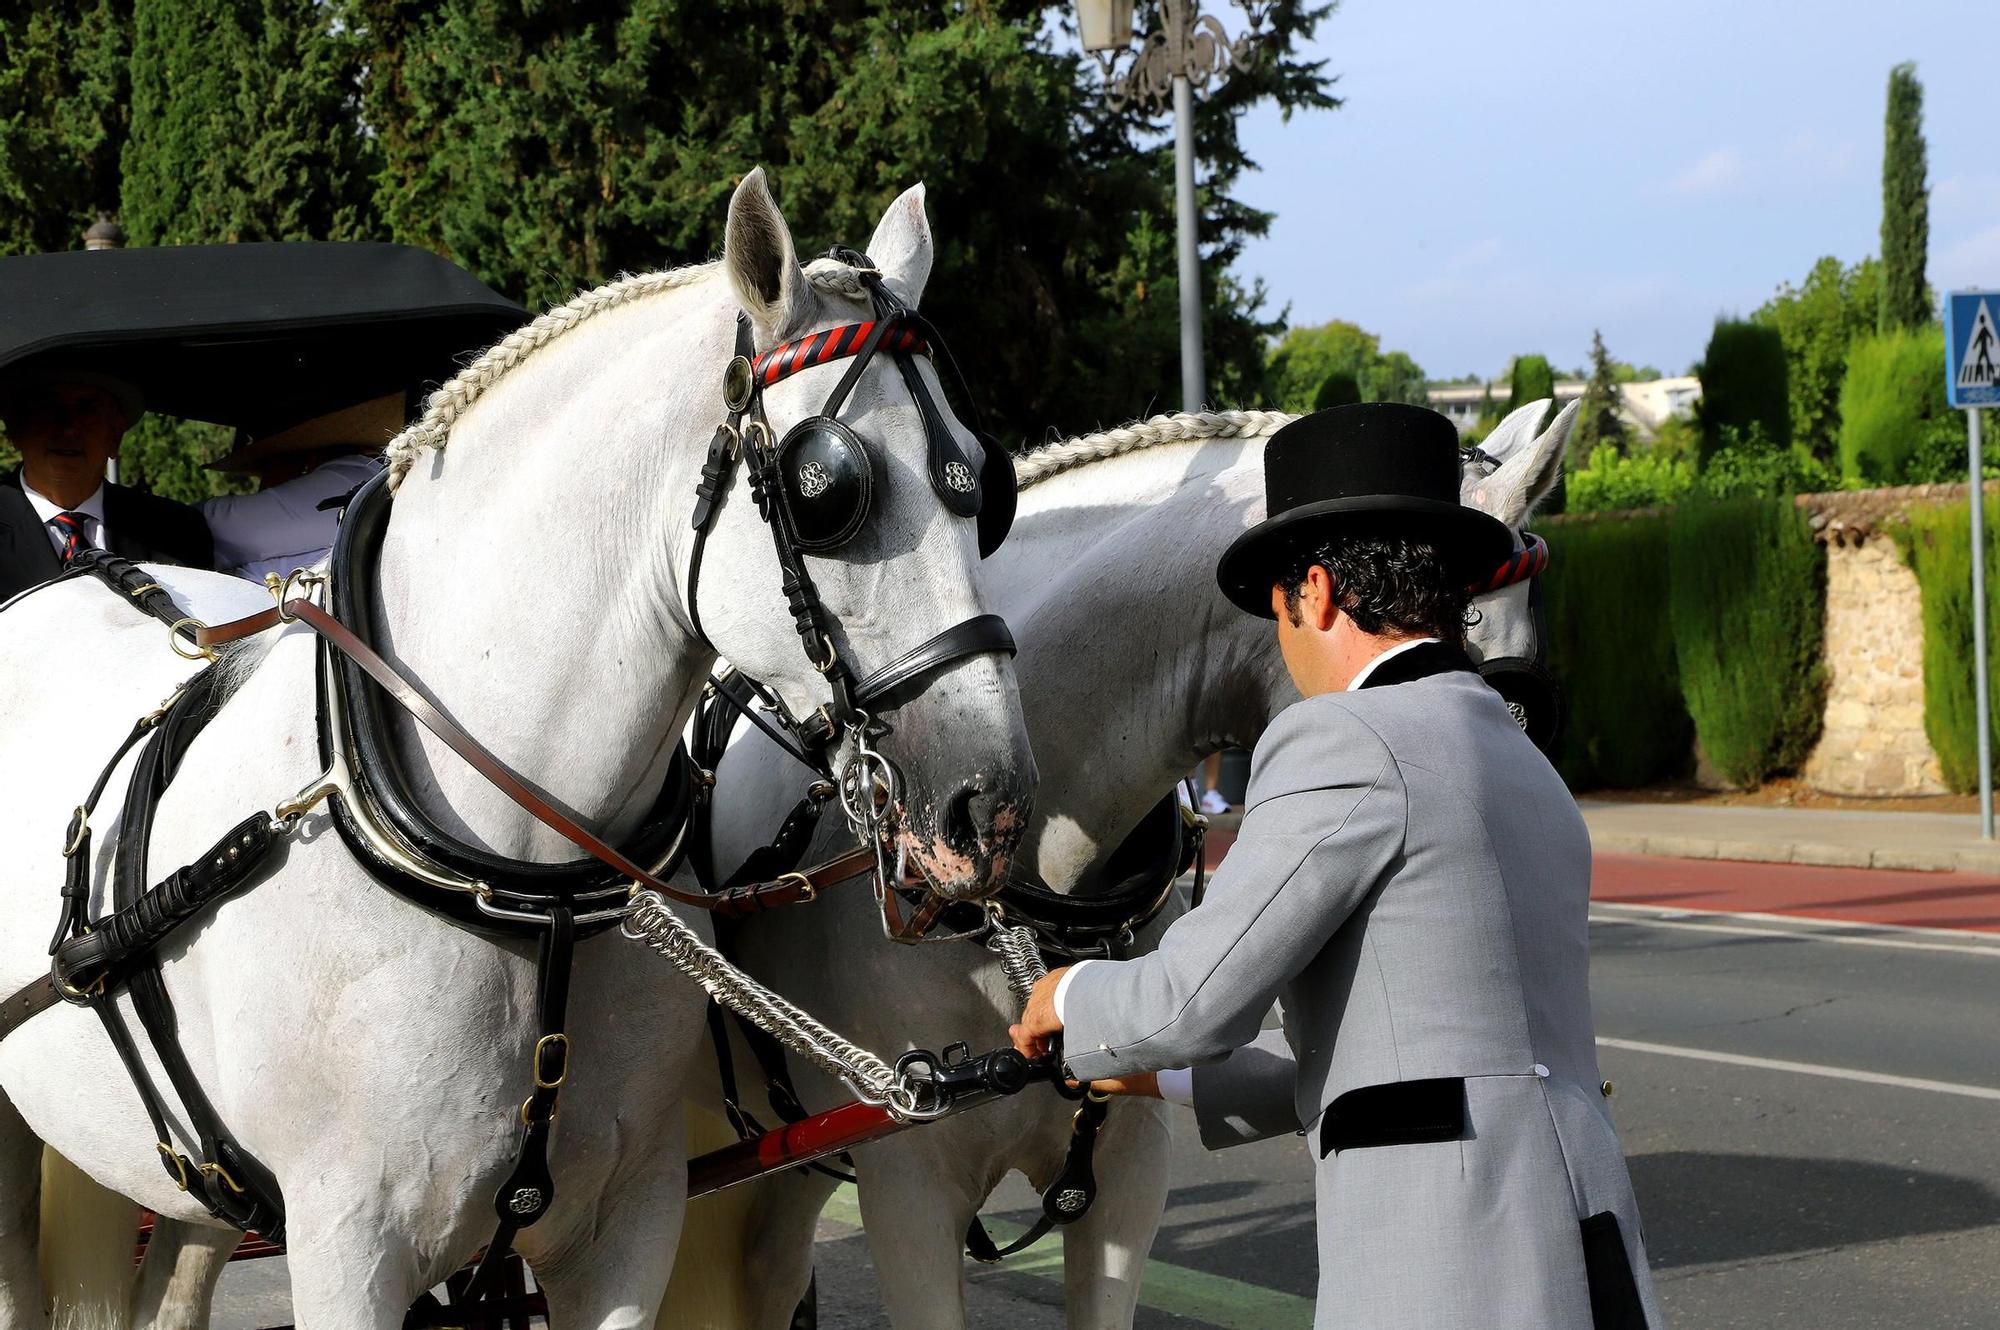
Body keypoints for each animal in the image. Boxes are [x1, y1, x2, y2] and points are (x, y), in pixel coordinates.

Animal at [0, 171, 1032, 1328]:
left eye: (983, 487)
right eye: (828, 493)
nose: (986, 809)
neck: (525, 882)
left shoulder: (625, 1222)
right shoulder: (346, 1243)